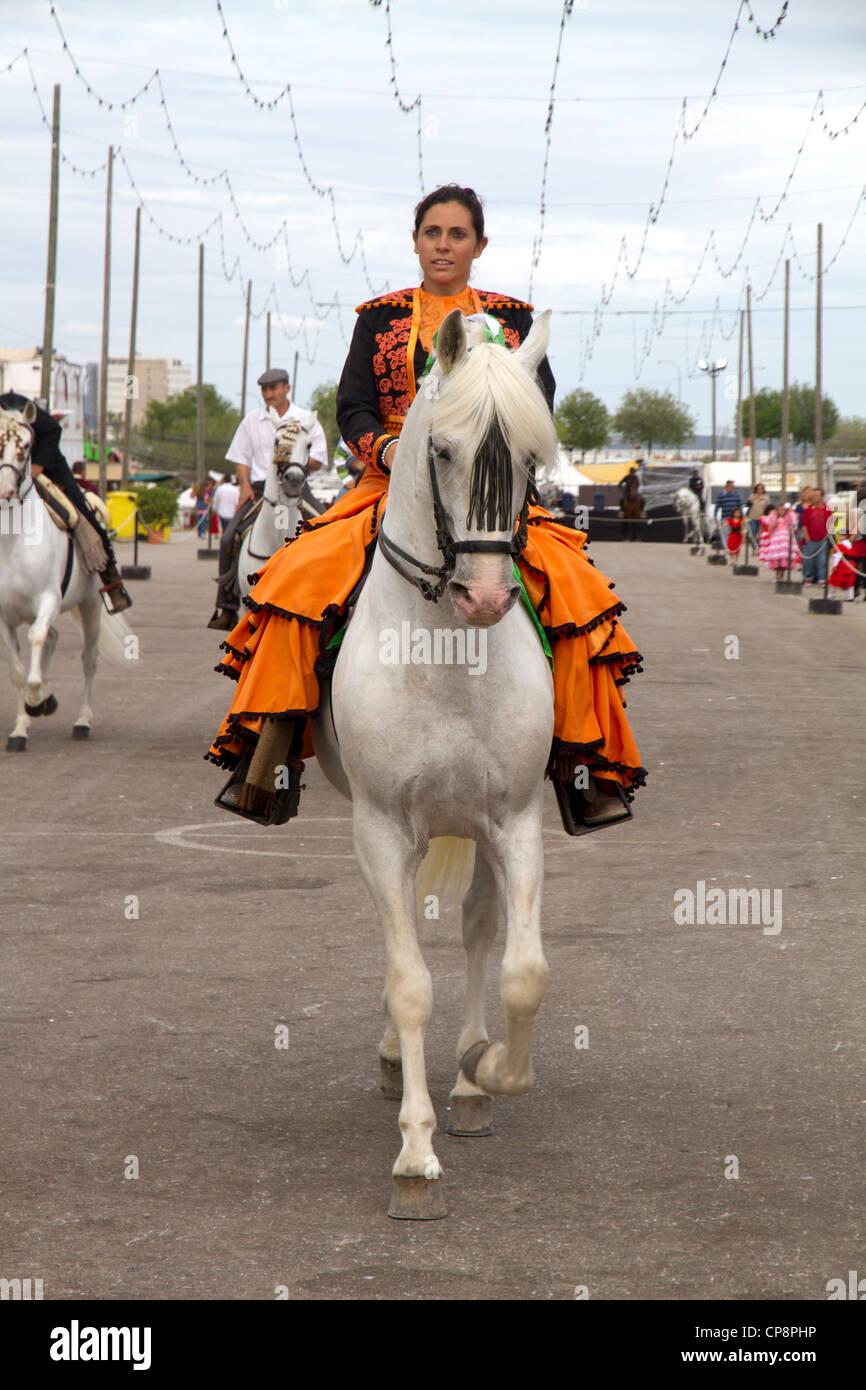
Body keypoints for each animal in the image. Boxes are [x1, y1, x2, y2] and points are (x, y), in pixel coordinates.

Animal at [0, 403, 125, 750]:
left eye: (26, 446)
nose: (6, 491)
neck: (12, 541)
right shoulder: (4, 616)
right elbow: (17, 669)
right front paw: (21, 727)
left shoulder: (48, 600)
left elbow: (36, 639)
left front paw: (36, 699)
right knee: (53, 639)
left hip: (90, 605)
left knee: (88, 659)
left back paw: (82, 721)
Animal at [315, 307, 558, 1217]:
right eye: (444, 451)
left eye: (530, 458)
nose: (486, 597)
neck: (447, 657)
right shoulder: (382, 829)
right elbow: (409, 981)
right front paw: (414, 1156)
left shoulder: (516, 823)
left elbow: (522, 969)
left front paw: (486, 1069)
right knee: (404, 951)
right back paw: (400, 1065)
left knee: (480, 930)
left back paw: (467, 1084)